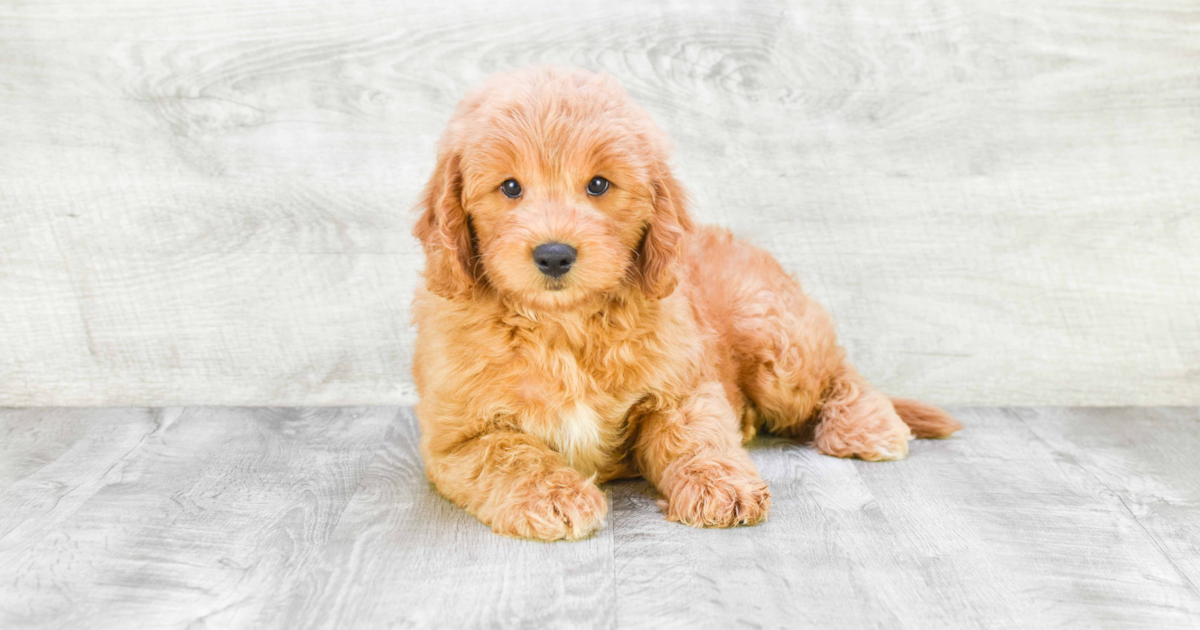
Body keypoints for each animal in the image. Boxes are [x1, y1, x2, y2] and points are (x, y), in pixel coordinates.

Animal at [410, 68, 955, 540]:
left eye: (599, 184)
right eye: (509, 187)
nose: (554, 254)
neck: (564, 325)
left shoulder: (682, 387)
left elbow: (695, 437)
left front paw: (721, 485)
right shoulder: (457, 437)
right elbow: (508, 453)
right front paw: (553, 496)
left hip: (776, 341)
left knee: (838, 371)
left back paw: (867, 424)